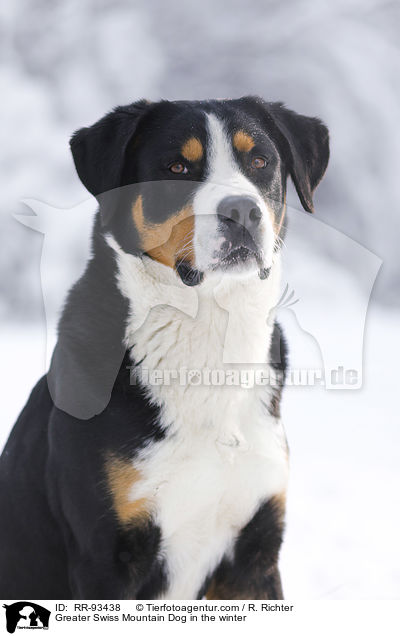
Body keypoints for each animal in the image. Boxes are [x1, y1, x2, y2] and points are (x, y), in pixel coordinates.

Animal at [0, 97, 330, 600]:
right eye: (176, 167)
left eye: (259, 162)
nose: (242, 211)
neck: (207, 333)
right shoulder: (107, 558)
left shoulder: (254, 553)